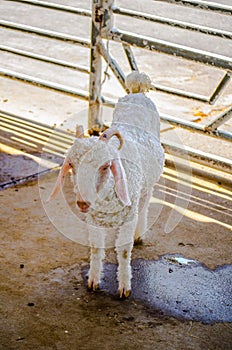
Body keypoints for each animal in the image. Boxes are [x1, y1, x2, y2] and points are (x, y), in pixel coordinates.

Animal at [49, 72, 165, 296]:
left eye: (105, 166)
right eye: (71, 165)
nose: (82, 203)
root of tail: (137, 92)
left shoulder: (128, 217)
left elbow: (124, 252)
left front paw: (124, 286)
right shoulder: (93, 220)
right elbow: (96, 248)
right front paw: (94, 280)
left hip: (147, 186)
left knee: (144, 206)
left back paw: (139, 234)